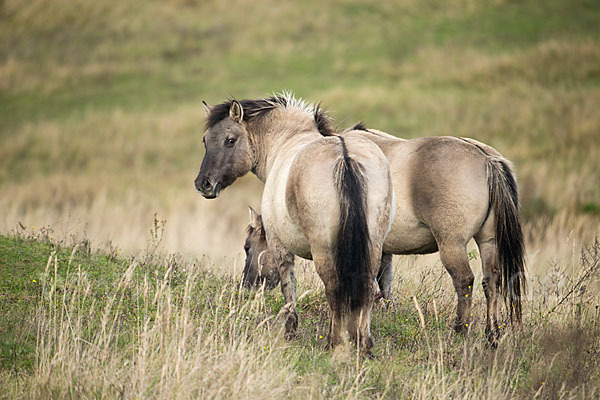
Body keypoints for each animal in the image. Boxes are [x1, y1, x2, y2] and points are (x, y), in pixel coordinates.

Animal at [195, 93, 396, 354]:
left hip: (324, 251)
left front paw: (290, 331)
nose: (204, 184)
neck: (287, 140)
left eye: (230, 140)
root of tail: (345, 157)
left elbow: (288, 285)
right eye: (206, 140)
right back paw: (364, 343)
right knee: (368, 287)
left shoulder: (280, 246)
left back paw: (333, 341)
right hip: (373, 246)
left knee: (333, 289)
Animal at [239, 123, 524, 346]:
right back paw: (491, 335)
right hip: (488, 241)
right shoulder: (381, 250)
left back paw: (460, 331)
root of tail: (486, 158)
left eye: (247, 247)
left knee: (465, 281)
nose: (246, 286)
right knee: (491, 281)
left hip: (452, 245)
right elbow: (384, 287)